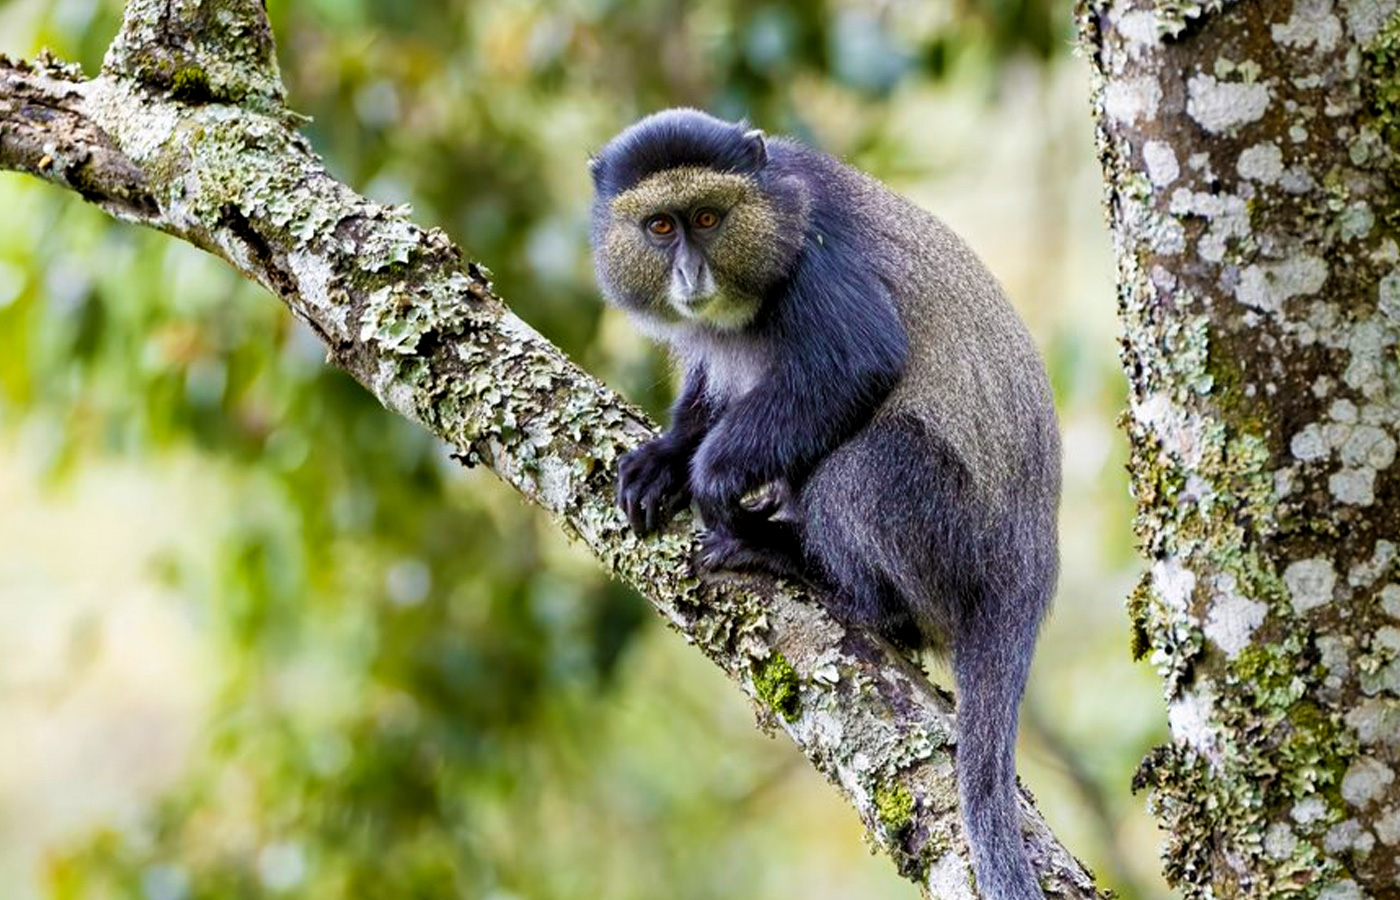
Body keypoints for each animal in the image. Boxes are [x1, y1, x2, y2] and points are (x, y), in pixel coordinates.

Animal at [589, 109, 1060, 900]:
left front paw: (711, 475)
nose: (690, 276)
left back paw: (820, 574)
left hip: (949, 531)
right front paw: (665, 460)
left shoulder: (820, 259)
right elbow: (708, 386)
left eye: (708, 218)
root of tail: (1030, 572)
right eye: (659, 227)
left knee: (860, 470)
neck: (774, 212)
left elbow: (857, 362)